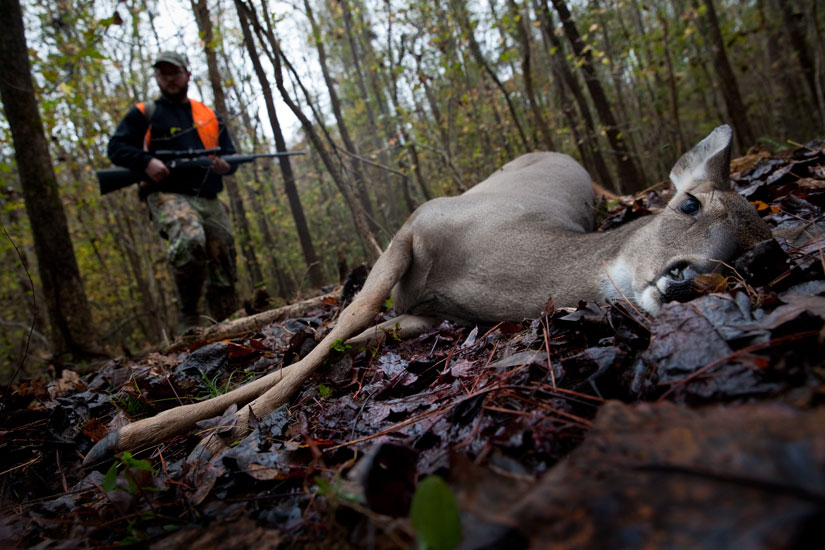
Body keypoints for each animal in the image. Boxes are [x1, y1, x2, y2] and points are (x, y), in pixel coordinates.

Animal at [84, 124, 772, 466]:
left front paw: (208, 431)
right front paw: (171, 436)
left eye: (753, 258)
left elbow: (353, 339)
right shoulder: (413, 229)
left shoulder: (428, 317)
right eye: (688, 203)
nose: (687, 278)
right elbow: (344, 324)